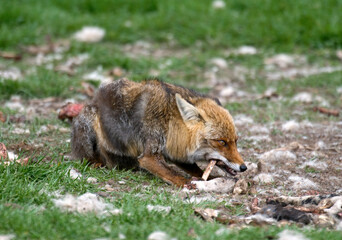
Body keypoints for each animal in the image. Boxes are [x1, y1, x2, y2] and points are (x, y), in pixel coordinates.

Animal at [72, 79, 247, 188]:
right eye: (222, 142)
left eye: (235, 141)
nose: (244, 167)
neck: (169, 121)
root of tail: (93, 99)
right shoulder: (150, 154)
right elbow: (172, 174)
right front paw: (187, 184)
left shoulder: (175, 149)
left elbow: (194, 169)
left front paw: (208, 179)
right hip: (89, 122)